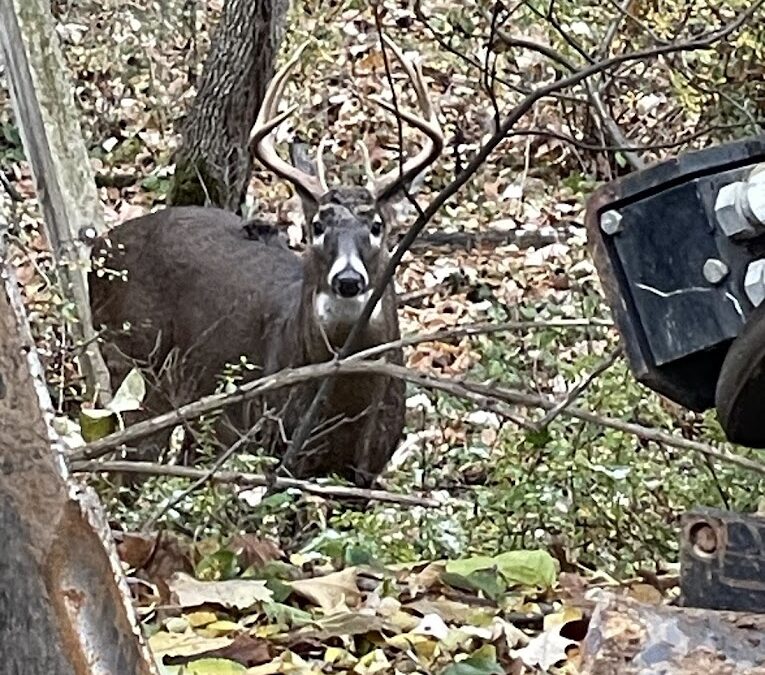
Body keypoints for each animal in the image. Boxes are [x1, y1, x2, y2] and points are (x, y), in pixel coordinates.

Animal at [91, 39, 442, 486]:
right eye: (316, 226)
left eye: (377, 225)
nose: (347, 279)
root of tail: (99, 249)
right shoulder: (260, 438)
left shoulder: (368, 468)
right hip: (134, 361)